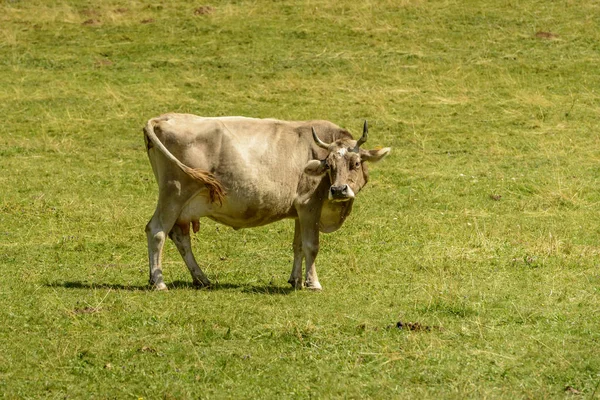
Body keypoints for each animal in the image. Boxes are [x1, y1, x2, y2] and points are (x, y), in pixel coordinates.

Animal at [143, 113, 392, 290]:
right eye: (329, 165)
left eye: (355, 163)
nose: (338, 189)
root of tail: (165, 117)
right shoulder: (309, 205)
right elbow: (311, 246)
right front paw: (313, 283)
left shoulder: (300, 210)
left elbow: (298, 245)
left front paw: (296, 280)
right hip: (174, 193)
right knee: (157, 230)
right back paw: (159, 282)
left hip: (183, 205)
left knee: (180, 237)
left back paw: (201, 278)